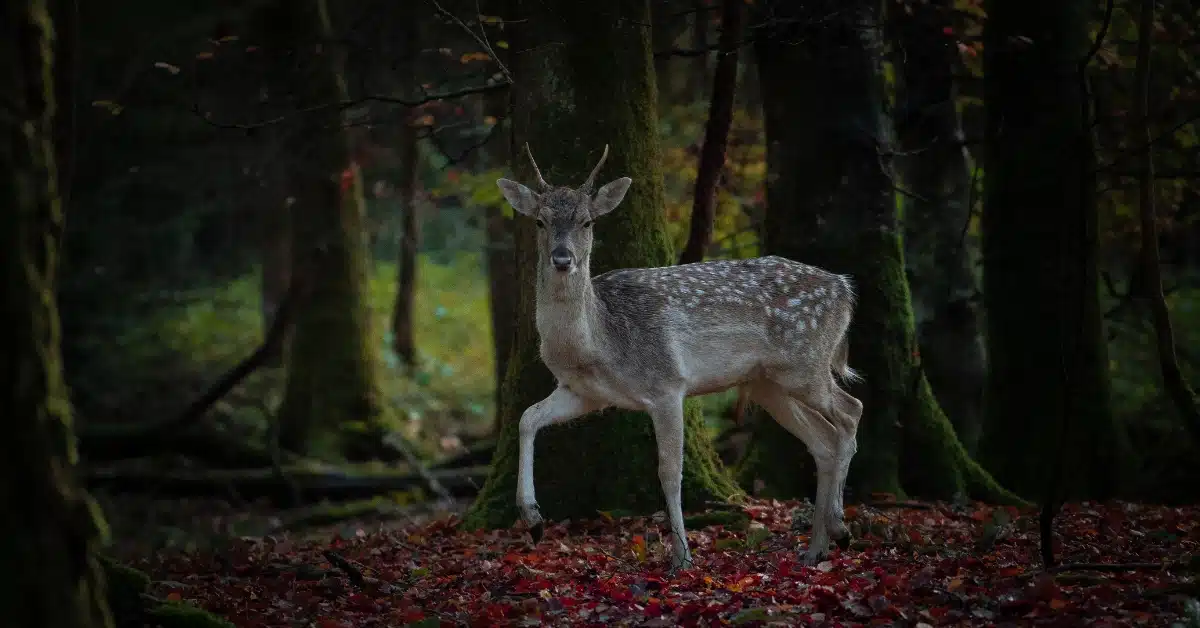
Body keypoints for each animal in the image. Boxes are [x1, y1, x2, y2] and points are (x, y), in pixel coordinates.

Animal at [495, 143, 864, 572]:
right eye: (540, 221)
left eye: (587, 222)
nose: (561, 258)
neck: (598, 344)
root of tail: (845, 289)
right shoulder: (584, 392)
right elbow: (526, 418)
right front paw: (533, 518)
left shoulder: (668, 383)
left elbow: (669, 472)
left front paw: (682, 557)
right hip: (767, 383)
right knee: (823, 440)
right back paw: (816, 548)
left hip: (805, 363)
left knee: (850, 411)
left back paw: (838, 526)